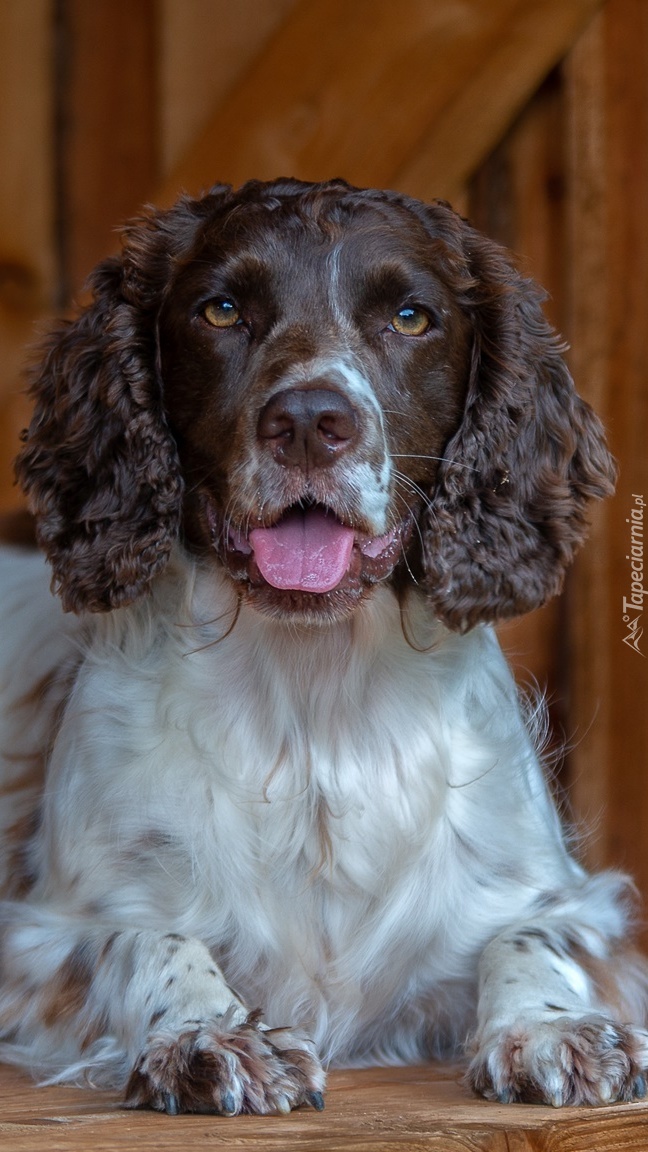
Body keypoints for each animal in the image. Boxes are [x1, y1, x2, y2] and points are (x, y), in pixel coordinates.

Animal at [0, 172, 641, 1115]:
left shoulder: (577, 905)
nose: (308, 421)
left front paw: (548, 1027)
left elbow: (527, 935)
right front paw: (210, 1031)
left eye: (411, 316)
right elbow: (151, 941)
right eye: (222, 309)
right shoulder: (46, 937)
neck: (316, 708)